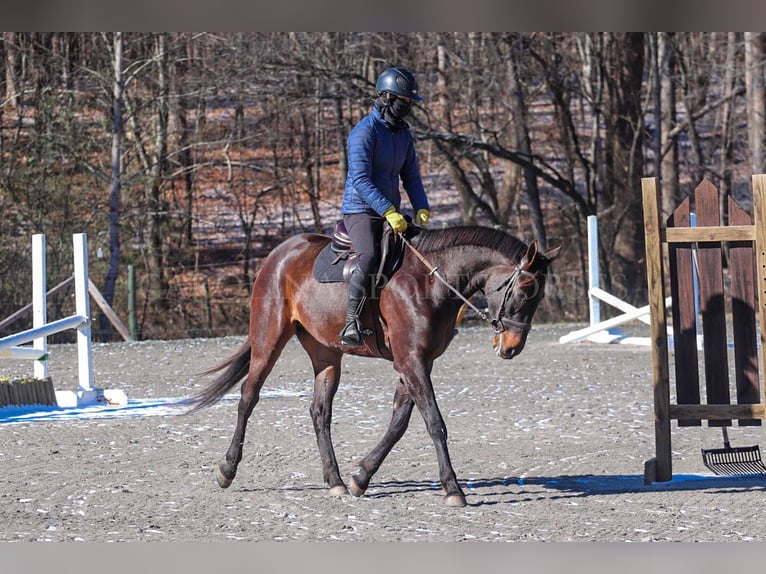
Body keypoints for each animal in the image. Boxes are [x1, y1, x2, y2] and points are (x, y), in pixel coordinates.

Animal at [189, 225, 560, 508]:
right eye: (523, 292)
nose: (511, 348)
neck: (430, 282)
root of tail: (278, 253)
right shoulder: (411, 361)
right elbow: (434, 423)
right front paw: (452, 488)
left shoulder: (417, 363)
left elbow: (398, 423)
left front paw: (360, 477)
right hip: (268, 340)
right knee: (248, 397)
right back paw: (227, 469)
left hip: (326, 355)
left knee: (320, 412)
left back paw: (335, 481)